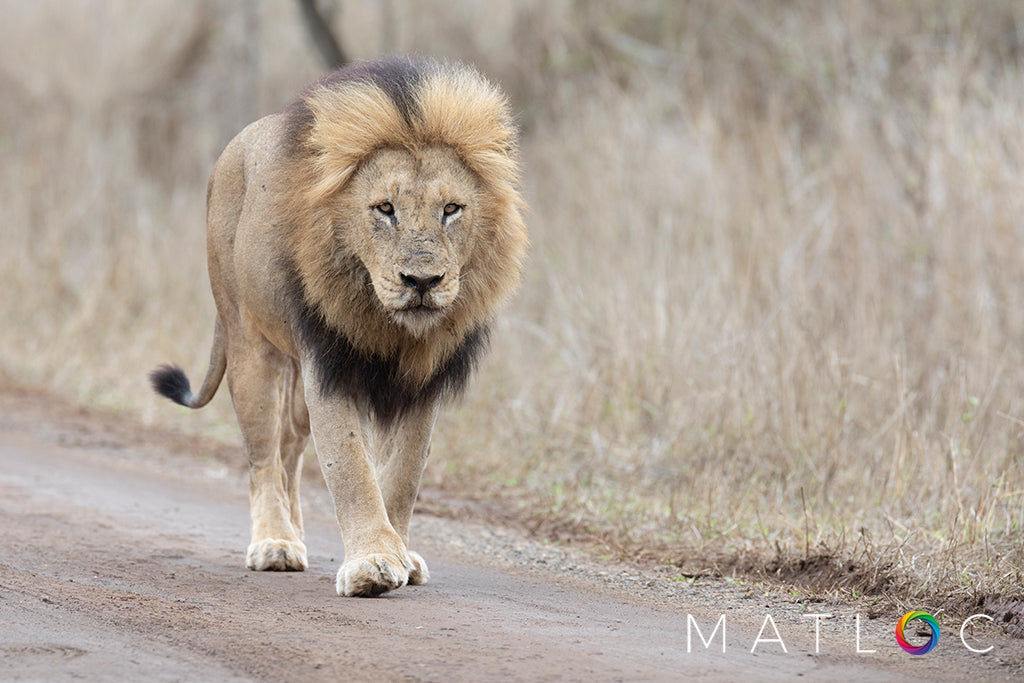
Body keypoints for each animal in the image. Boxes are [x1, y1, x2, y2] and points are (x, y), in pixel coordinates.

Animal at [149, 56, 528, 593]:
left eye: (451, 209)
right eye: (384, 209)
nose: (422, 280)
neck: (390, 326)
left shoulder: (422, 380)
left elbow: (403, 474)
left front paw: (399, 554)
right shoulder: (330, 364)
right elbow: (351, 469)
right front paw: (373, 562)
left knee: (289, 452)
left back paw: (295, 534)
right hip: (250, 346)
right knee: (263, 457)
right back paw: (275, 543)